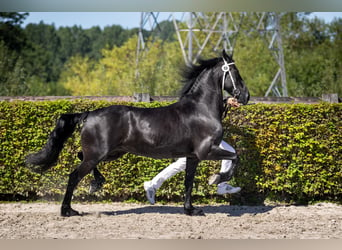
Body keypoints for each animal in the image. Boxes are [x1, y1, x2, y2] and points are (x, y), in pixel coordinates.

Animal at [26, 49, 248, 216]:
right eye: (235, 71)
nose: (245, 96)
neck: (201, 109)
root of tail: (88, 114)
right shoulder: (206, 151)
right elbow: (235, 156)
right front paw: (217, 178)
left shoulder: (192, 156)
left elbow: (188, 182)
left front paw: (190, 210)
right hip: (98, 154)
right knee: (73, 176)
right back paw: (68, 211)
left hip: (110, 153)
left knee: (80, 157)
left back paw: (96, 183)